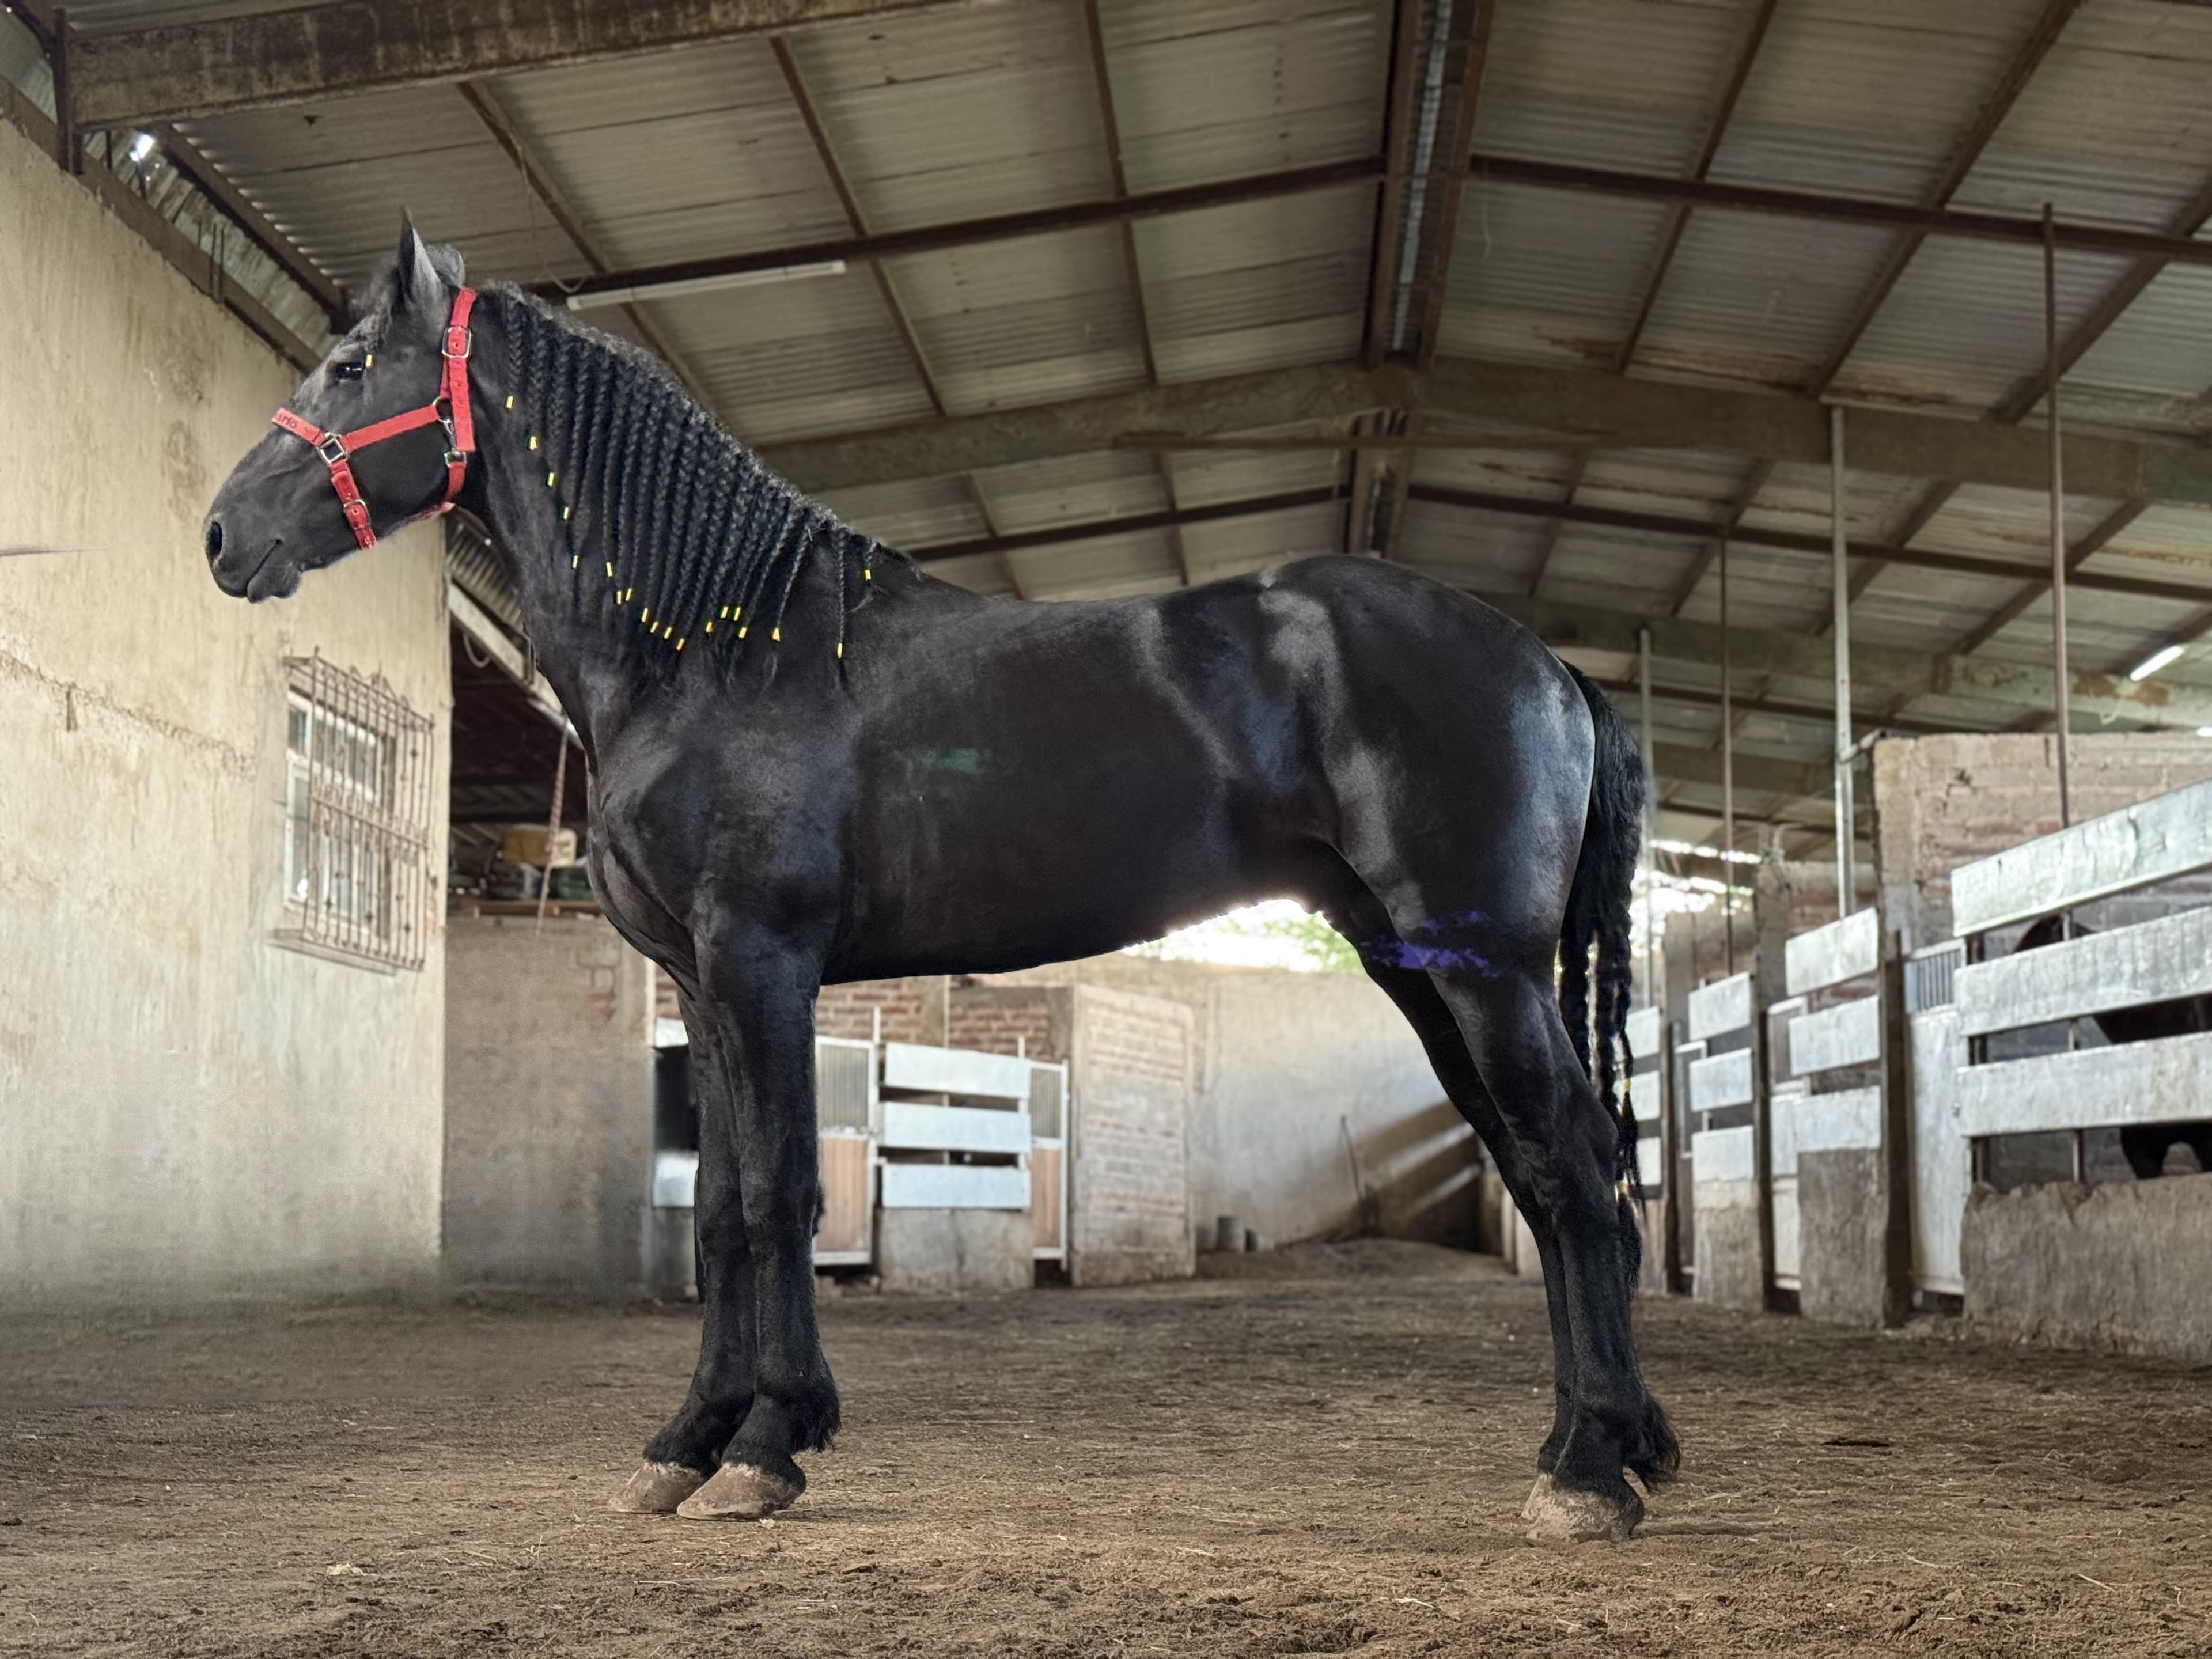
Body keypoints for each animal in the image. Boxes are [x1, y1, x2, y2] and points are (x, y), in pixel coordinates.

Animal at [202, 220, 1678, 1546]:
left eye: (350, 365)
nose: (222, 535)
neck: (712, 653)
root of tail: (1547, 663)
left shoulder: (762, 963)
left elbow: (779, 1198)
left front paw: (765, 1445)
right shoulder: (701, 983)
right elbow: (721, 1214)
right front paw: (686, 1444)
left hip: (1484, 967)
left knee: (1571, 1157)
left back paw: (1588, 1473)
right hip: (1414, 964)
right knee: (1546, 1169)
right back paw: (1595, 1444)